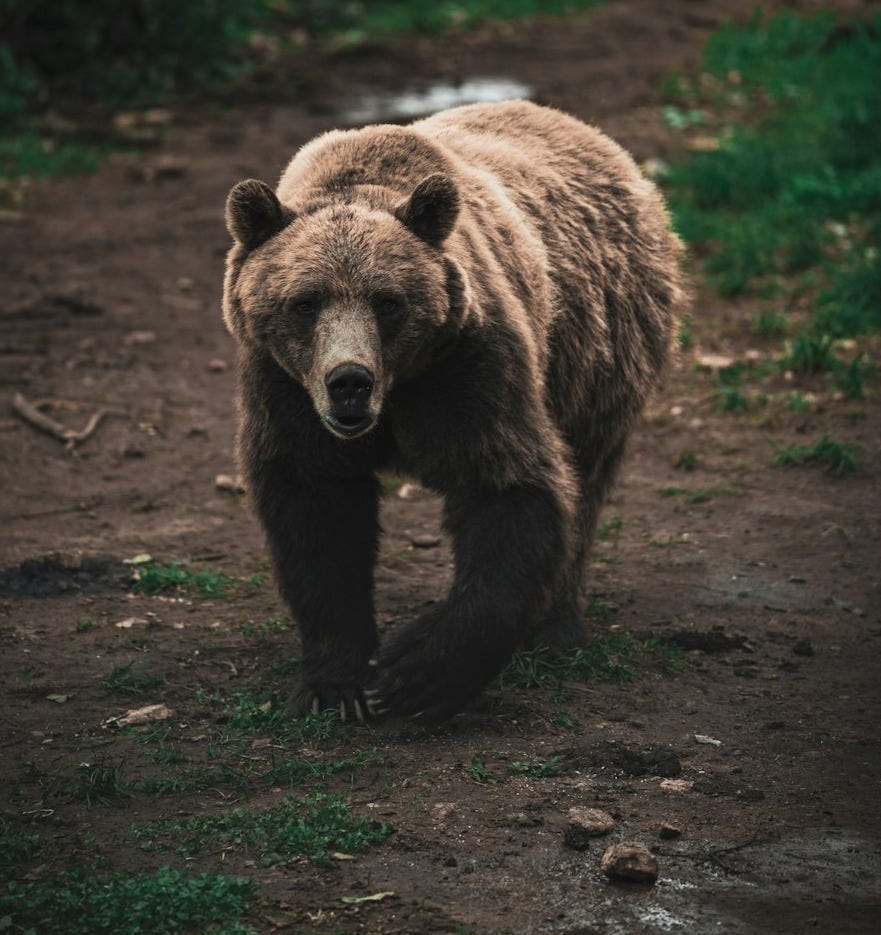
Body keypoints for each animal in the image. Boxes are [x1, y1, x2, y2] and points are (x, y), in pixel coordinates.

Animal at [222, 100, 685, 725]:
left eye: (387, 301)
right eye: (305, 301)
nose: (349, 383)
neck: (397, 395)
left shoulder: (470, 368)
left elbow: (510, 487)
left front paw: (414, 674)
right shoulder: (285, 389)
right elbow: (317, 519)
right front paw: (336, 685)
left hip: (599, 351)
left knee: (584, 482)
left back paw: (555, 626)